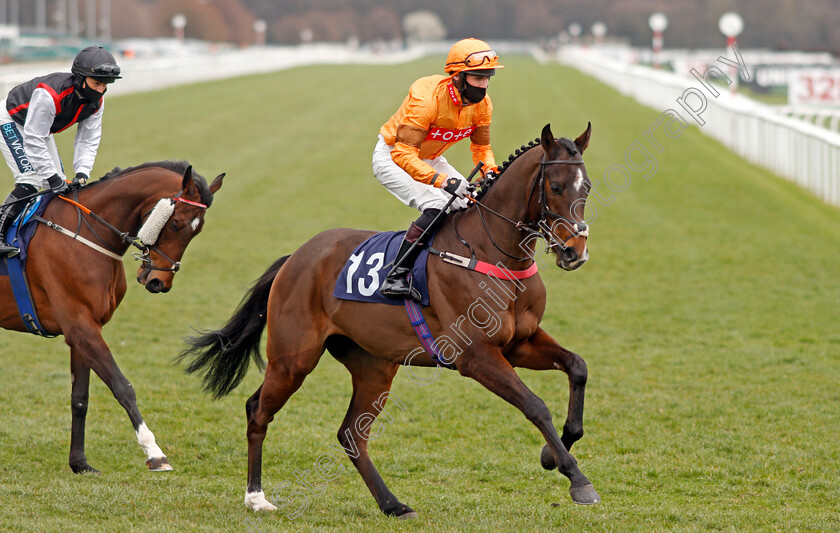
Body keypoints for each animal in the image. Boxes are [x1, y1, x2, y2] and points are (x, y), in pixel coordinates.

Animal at [0, 160, 223, 472]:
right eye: (175, 223)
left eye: (197, 230)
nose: (159, 281)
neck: (85, 234)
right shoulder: (81, 328)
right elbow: (123, 387)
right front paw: (155, 453)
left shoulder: (83, 330)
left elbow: (80, 398)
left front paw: (79, 463)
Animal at [181, 124, 596, 516]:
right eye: (556, 186)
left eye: (587, 187)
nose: (575, 251)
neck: (489, 249)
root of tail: (295, 257)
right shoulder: (476, 355)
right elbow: (535, 405)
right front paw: (576, 478)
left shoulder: (518, 343)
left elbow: (578, 366)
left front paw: (553, 452)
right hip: (292, 359)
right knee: (258, 410)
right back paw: (256, 497)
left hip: (373, 365)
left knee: (351, 434)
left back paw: (392, 504)